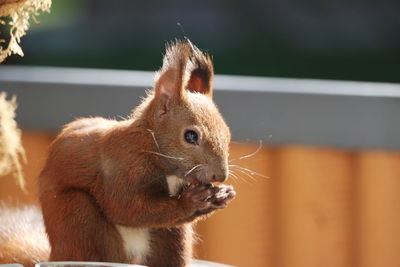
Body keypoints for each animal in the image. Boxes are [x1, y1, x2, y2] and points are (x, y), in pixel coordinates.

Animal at [0, 40, 236, 267]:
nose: (220, 175)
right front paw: (190, 201)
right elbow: (127, 208)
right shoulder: (120, 170)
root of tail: (54, 256)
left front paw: (222, 193)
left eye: (227, 133)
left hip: (171, 239)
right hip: (79, 219)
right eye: (190, 136)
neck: (148, 146)